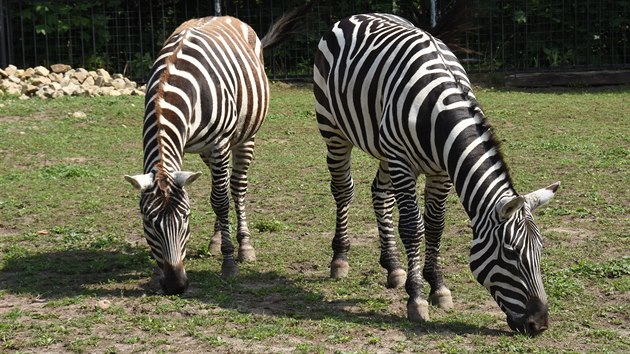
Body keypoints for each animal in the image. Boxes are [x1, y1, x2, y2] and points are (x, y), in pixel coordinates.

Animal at [124, 2, 312, 296]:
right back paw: (215, 240)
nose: (175, 285)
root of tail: (222, 15)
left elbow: (221, 200)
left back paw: (244, 246)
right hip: (206, 152)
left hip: (244, 137)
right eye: (148, 223)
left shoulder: (220, 144)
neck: (171, 86)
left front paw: (229, 263)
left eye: (186, 218)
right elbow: (213, 198)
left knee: (235, 187)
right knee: (219, 186)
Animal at [316, 13, 564, 334]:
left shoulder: (441, 172)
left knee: (379, 194)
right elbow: (413, 227)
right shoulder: (402, 162)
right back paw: (340, 259)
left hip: (383, 147)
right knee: (343, 190)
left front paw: (438, 287)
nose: (540, 324)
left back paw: (393, 266)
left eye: (540, 250)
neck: (438, 112)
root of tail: (359, 15)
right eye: (510, 254)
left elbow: (436, 226)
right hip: (333, 130)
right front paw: (417, 298)